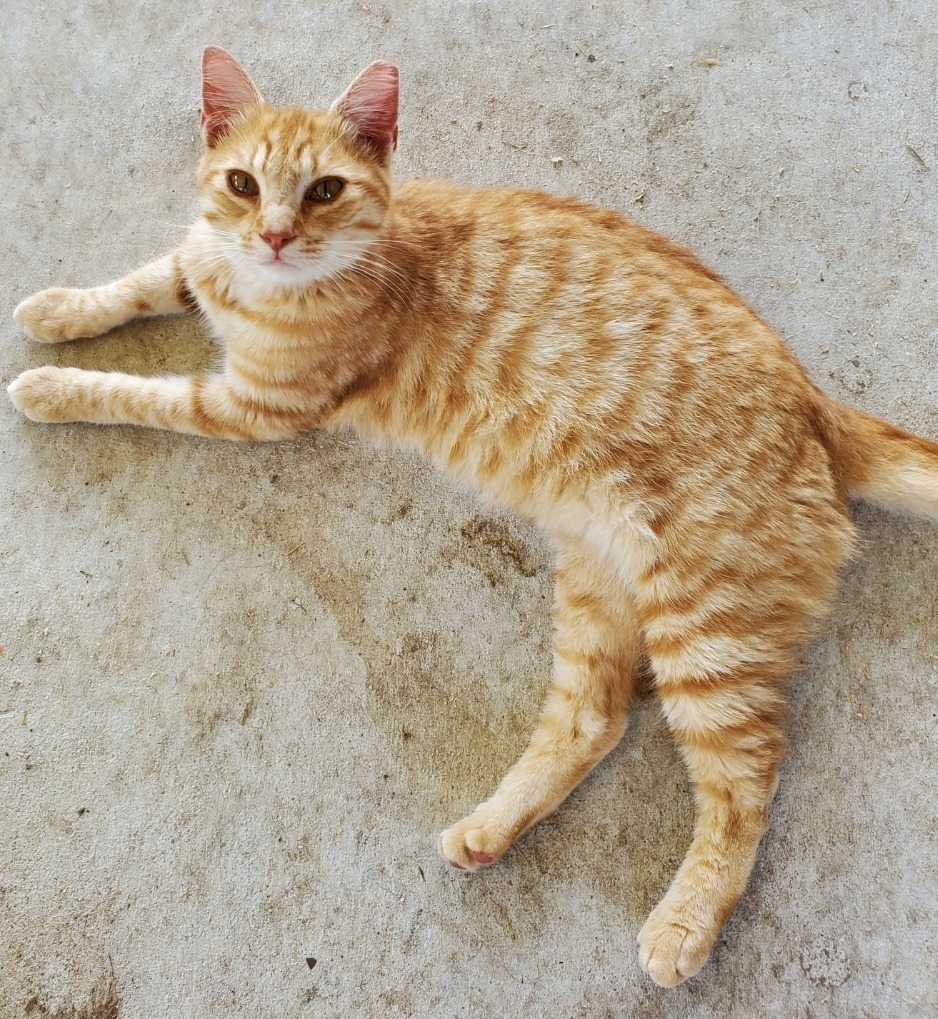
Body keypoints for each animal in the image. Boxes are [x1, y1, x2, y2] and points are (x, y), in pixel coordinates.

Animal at [7, 47, 936, 986]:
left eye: (325, 191)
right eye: (242, 182)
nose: (273, 235)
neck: (272, 284)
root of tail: (817, 403)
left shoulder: (253, 408)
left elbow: (138, 394)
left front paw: (49, 386)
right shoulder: (201, 261)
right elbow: (150, 277)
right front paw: (60, 308)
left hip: (705, 636)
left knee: (746, 784)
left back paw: (683, 923)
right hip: (597, 580)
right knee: (595, 718)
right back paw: (489, 830)